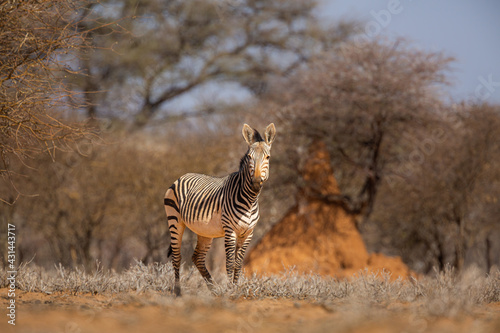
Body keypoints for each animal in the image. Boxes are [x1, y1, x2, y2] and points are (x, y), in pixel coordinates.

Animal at [164, 123, 276, 294]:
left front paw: (235, 289)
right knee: (177, 257)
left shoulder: (248, 233)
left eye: (268, 157)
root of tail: (182, 176)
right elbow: (230, 263)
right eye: (250, 157)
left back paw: (213, 289)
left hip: (204, 231)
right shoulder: (230, 231)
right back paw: (178, 292)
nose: (256, 183)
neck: (250, 201)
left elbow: (238, 263)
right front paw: (229, 290)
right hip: (175, 221)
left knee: (197, 257)